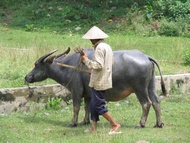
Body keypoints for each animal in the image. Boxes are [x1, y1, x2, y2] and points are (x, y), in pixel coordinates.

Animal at [24, 47, 166, 128]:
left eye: (36, 64)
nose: (27, 77)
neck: (69, 66)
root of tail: (146, 57)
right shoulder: (87, 93)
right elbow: (86, 107)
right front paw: (85, 121)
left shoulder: (76, 91)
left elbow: (76, 107)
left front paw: (73, 123)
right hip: (151, 85)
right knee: (156, 101)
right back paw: (158, 124)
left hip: (139, 88)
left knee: (146, 103)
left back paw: (141, 124)